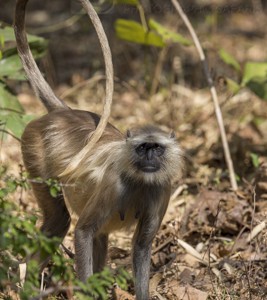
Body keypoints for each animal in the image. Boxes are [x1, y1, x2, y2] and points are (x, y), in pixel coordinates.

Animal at [13, 0, 183, 298]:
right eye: (143, 148)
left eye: (157, 148)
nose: (150, 158)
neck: (139, 179)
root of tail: (62, 113)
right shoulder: (114, 184)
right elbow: (82, 232)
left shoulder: (162, 189)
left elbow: (141, 247)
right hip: (33, 147)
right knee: (61, 221)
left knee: (96, 236)